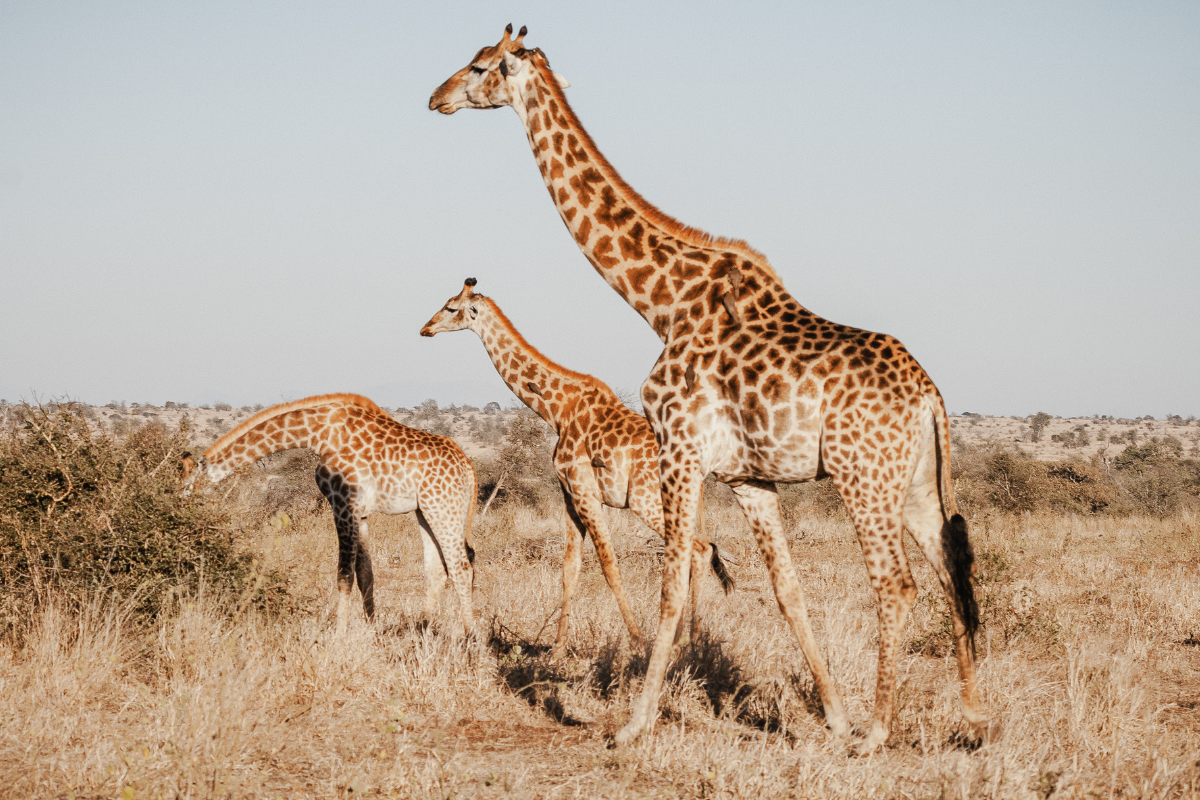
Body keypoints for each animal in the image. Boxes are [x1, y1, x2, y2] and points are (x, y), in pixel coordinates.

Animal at [180, 393, 475, 633]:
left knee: (461, 566)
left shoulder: (342, 503)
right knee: (438, 569)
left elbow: (344, 575)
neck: (317, 433)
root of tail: (469, 468)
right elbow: (365, 573)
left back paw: (471, 638)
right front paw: (371, 632)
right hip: (426, 511)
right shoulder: (360, 512)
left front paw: (339, 639)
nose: (182, 511)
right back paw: (422, 631)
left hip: (442, 507)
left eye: (187, 486)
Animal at [422, 278, 739, 662]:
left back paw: (681, 642)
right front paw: (558, 649)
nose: (426, 328)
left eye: (451, 307)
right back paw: (689, 640)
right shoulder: (569, 494)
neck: (556, 408)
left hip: (647, 500)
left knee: (700, 549)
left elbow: (608, 563)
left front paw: (637, 641)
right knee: (701, 549)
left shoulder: (586, 491)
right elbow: (569, 568)